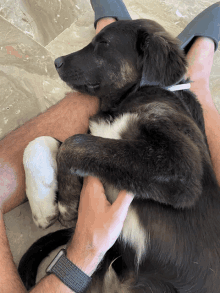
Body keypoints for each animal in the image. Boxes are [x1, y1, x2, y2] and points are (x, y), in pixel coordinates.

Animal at [18, 19, 220, 290]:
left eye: (103, 43)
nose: (57, 61)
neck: (128, 99)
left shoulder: (180, 166)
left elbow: (73, 143)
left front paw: (66, 201)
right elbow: (43, 140)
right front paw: (43, 204)